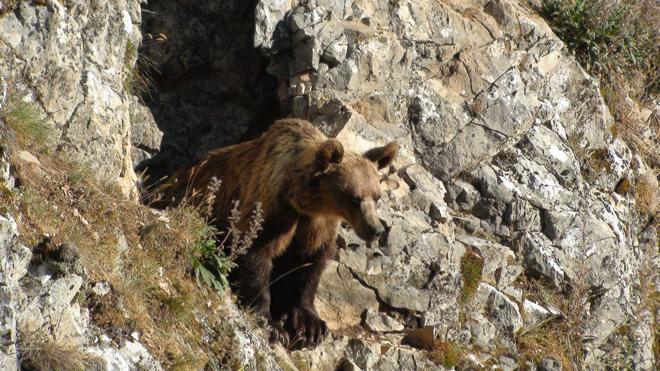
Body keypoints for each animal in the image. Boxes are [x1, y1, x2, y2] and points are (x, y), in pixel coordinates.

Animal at [156, 118, 398, 348]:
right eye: (355, 198)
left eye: (377, 197)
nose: (376, 229)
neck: (308, 204)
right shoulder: (273, 209)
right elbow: (256, 253)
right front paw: (271, 324)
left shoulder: (317, 227)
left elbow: (310, 266)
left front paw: (311, 326)